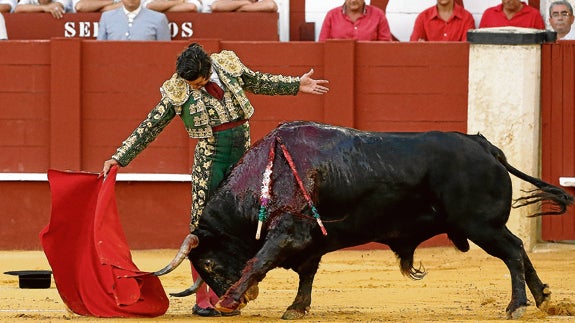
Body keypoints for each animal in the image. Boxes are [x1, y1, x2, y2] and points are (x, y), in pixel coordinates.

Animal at [168, 122, 575, 322]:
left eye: (207, 263)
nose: (243, 299)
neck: (266, 174)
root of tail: (482, 144)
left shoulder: (288, 231)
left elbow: (258, 260)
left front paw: (229, 300)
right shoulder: (310, 240)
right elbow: (306, 274)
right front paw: (296, 308)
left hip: (481, 226)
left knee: (513, 252)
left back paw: (517, 305)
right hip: (486, 226)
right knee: (519, 250)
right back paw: (543, 298)